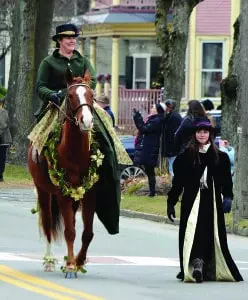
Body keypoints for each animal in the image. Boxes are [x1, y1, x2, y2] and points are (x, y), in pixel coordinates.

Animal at [27, 69, 96, 276]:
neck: (75, 152)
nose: (86, 121)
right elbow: (69, 232)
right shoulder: (62, 194)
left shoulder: (89, 193)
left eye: (91, 95)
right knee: (48, 223)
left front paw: (79, 261)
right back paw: (49, 261)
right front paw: (71, 265)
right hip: (44, 191)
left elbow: (87, 233)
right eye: (71, 95)